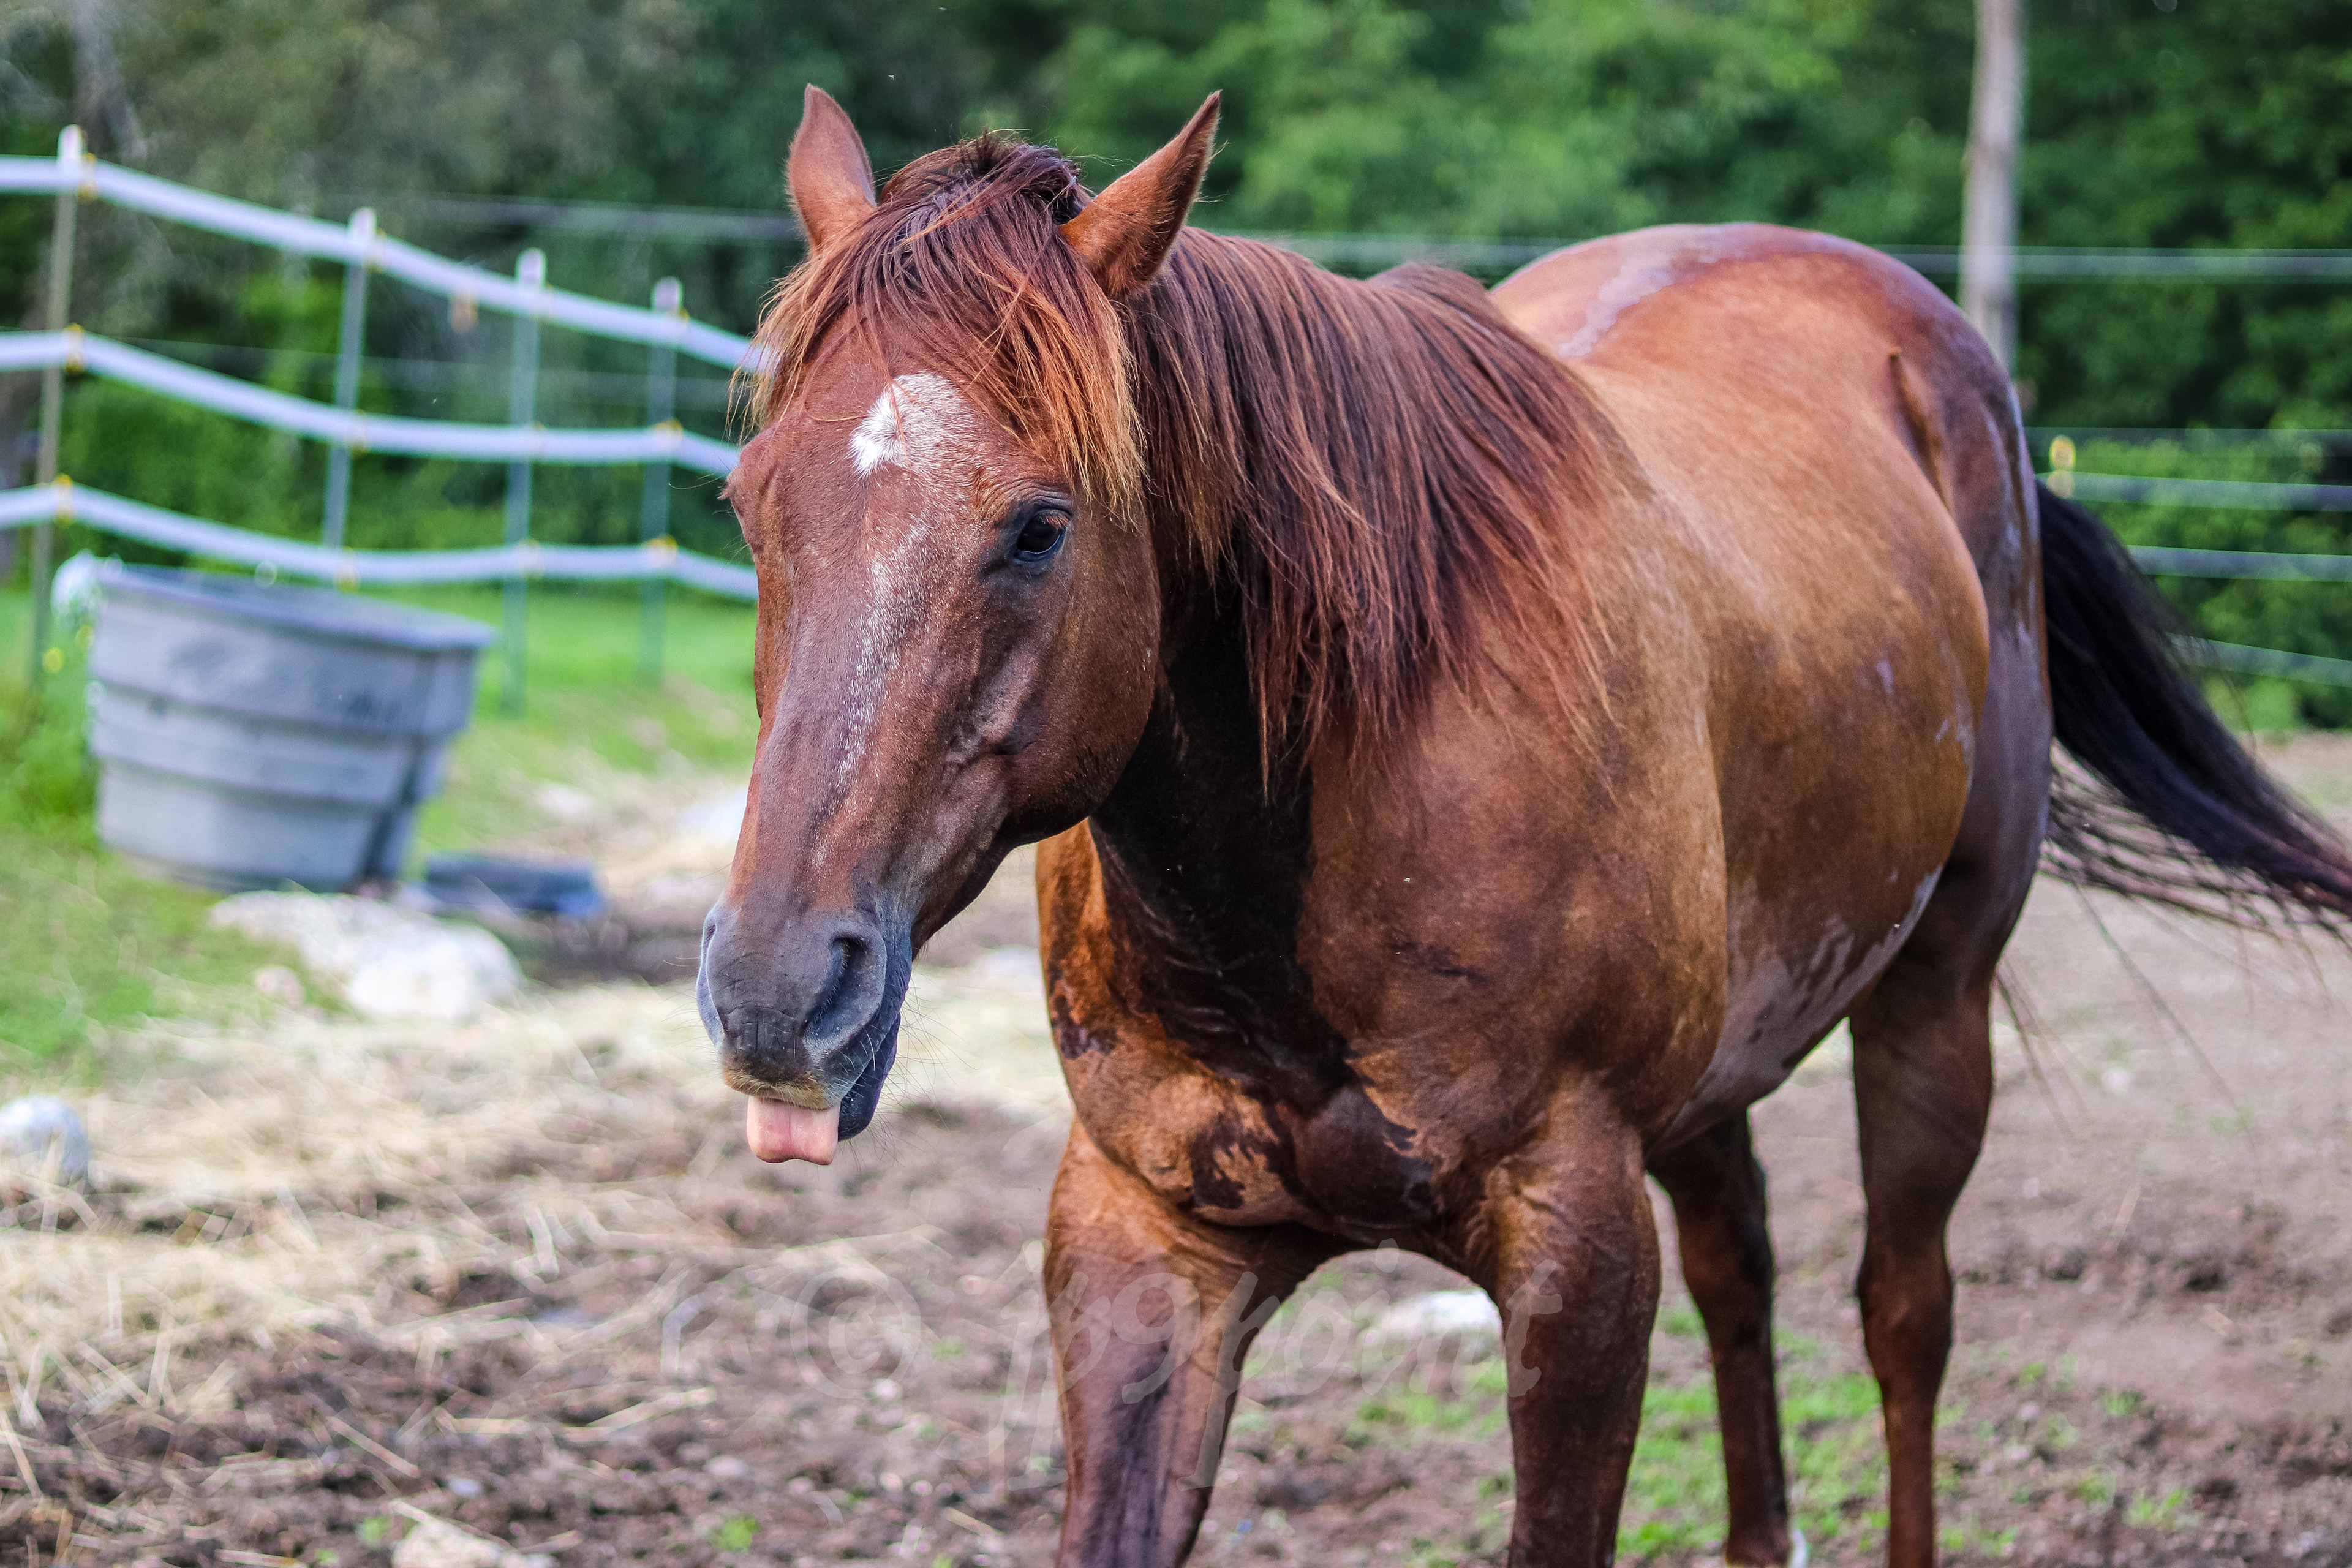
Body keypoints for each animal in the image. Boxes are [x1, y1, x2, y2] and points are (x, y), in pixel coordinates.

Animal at [697, 88, 2352, 1568]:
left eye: (1040, 526)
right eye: (747, 503)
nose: (775, 990)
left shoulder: (1574, 1256)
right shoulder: (1138, 1242)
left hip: (1932, 1005)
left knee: (1903, 1315)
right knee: (1741, 1268)